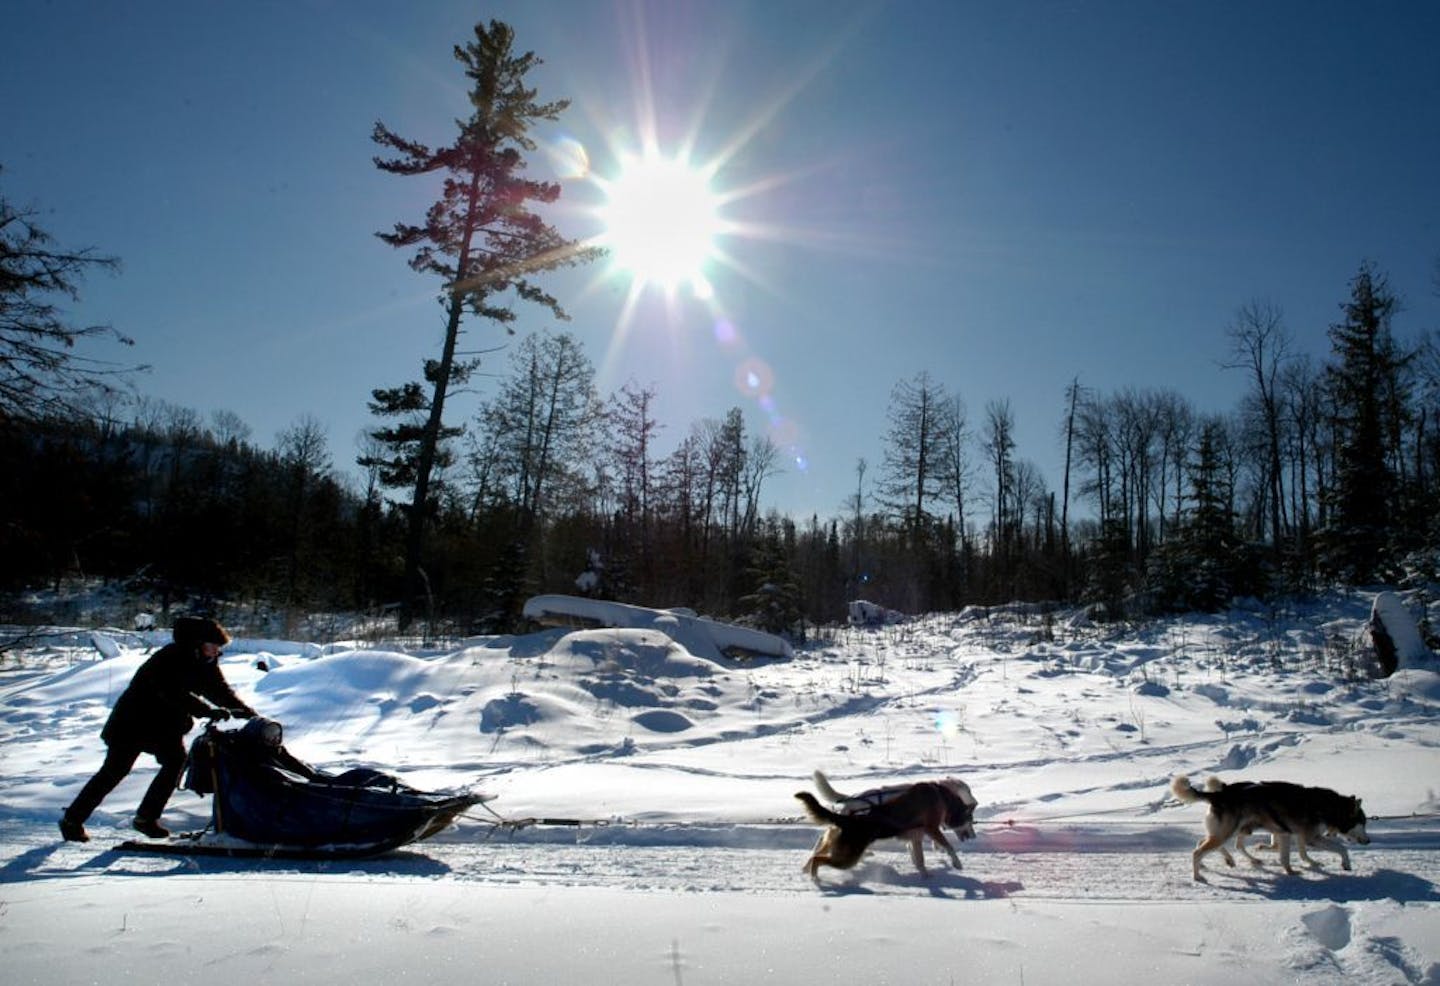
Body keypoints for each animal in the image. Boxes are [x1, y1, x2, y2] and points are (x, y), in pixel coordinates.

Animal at [800, 771, 979, 875]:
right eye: (969, 790)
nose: (976, 801)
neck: (938, 789)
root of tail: (850, 799)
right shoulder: (928, 827)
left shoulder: (917, 833)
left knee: (823, 843)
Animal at [1163, 771, 1365, 880]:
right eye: (1363, 823)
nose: (1368, 841)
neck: (1329, 806)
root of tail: (1219, 794)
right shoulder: (1311, 837)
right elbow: (1341, 848)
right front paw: (1346, 863)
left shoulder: (1291, 834)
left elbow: (1293, 855)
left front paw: (1298, 868)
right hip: (1227, 832)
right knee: (1198, 852)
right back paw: (1198, 876)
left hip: (1231, 831)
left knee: (1209, 844)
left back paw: (1232, 860)